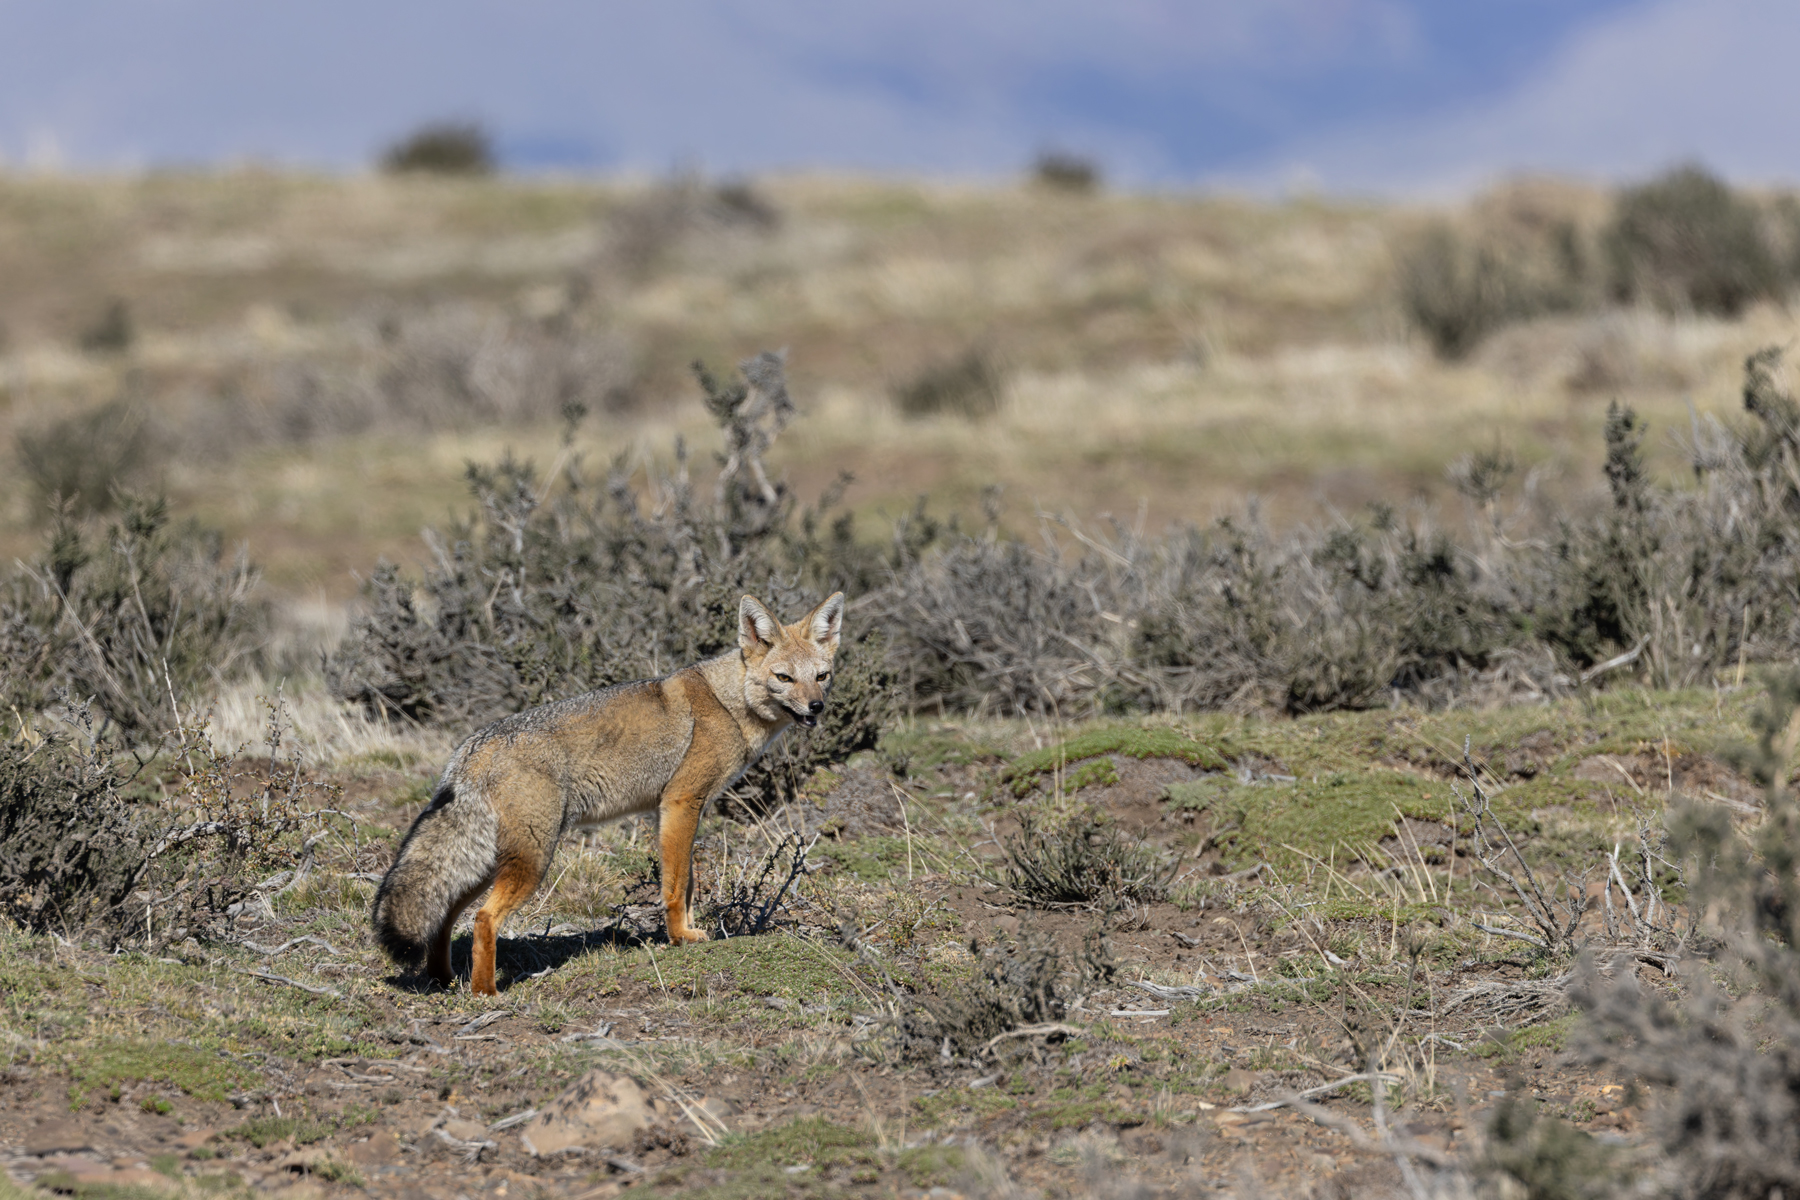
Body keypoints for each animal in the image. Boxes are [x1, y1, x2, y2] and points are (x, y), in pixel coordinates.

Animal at [371, 591, 845, 995]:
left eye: (822, 677)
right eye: (784, 677)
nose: (817, 707)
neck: (729, 702)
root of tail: (471, 746)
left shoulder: (676, 810)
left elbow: (688, 881)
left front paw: (689, 931)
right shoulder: (681, 802)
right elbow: (676, 886)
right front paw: (681, 937)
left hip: (491, 861)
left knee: (448, 916)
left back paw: (444, 979)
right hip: (532, 860)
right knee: (484, 919)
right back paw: (485, 992)